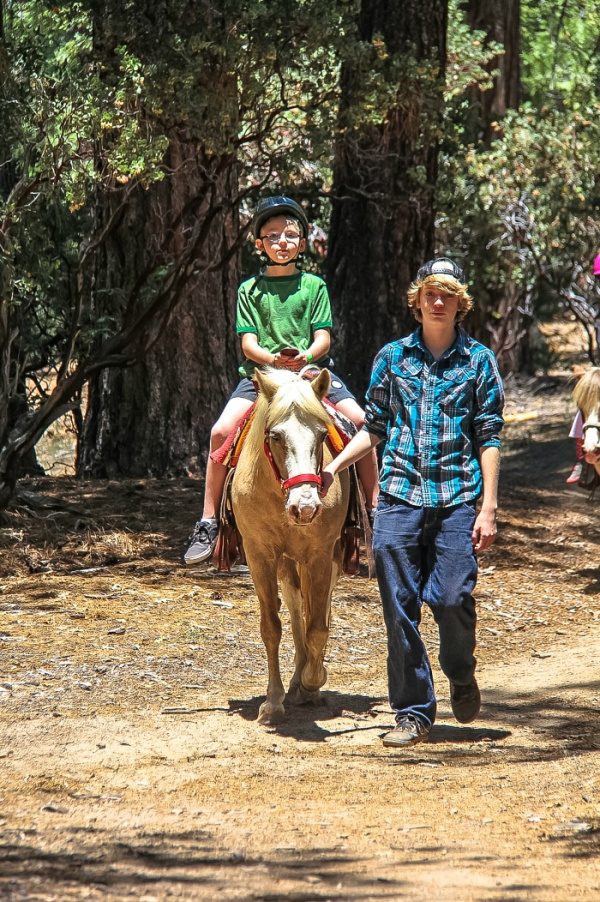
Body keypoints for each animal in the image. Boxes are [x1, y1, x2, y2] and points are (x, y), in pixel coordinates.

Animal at [231, 368, 352, 728]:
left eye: (322, 434)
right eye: (275, 436)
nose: (306, 507)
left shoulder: (320, 555)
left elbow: (318, 627)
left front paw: (314, 680)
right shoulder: (259, 556)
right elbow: (272, 627)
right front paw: (273, 702)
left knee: (317, 609)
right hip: (287, 562)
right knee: (297, 603)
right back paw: (296, 679)